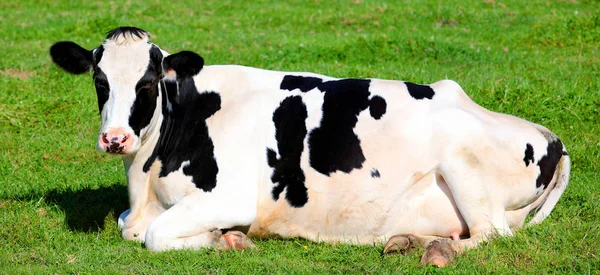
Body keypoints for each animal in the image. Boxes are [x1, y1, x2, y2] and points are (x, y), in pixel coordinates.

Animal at [49, 26, 568, 268]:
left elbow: (153, 236)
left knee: (491, 234)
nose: (115, 138)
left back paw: (436, 250)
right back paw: (407, 241)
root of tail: (550, 136)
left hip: (465, 166)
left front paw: (226, 239)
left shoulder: (229, 197)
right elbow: (127, 227)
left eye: (149, 80)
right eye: (99, 79)